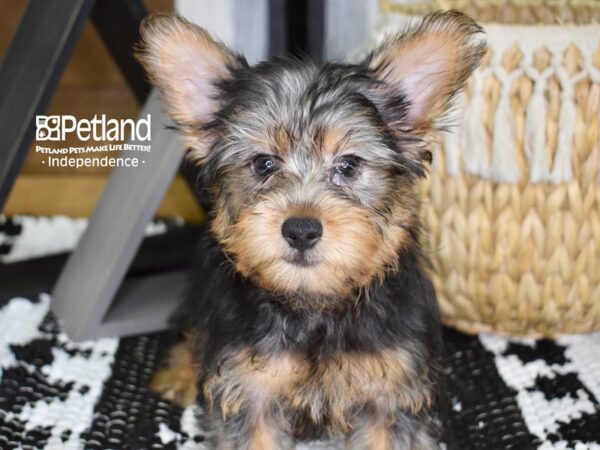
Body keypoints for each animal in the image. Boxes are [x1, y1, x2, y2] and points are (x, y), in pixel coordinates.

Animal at [138, 11, 486, 450]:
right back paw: (182, 374)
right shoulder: (250, 391)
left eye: (349, 165)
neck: (314, 307)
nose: (301, 229)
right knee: (194, 324)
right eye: (264, 164)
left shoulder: (391, 394)